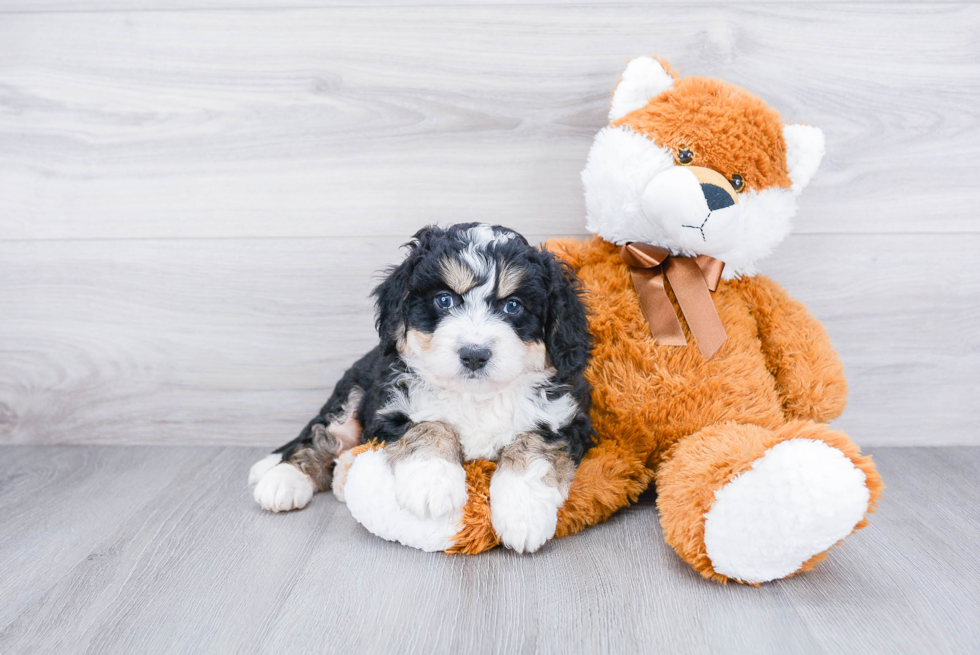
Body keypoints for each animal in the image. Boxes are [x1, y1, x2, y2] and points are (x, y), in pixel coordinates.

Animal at [249, 222, 592, 552]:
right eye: (444, 300)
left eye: (513, 306)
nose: (474, 354)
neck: (475, 397)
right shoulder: (392, 409)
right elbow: (430, 426)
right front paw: (432, 483)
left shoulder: (566, 419)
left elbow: (534, 444)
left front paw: (523, 513)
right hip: (352, 395)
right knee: (320, 436)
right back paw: (282, 479)